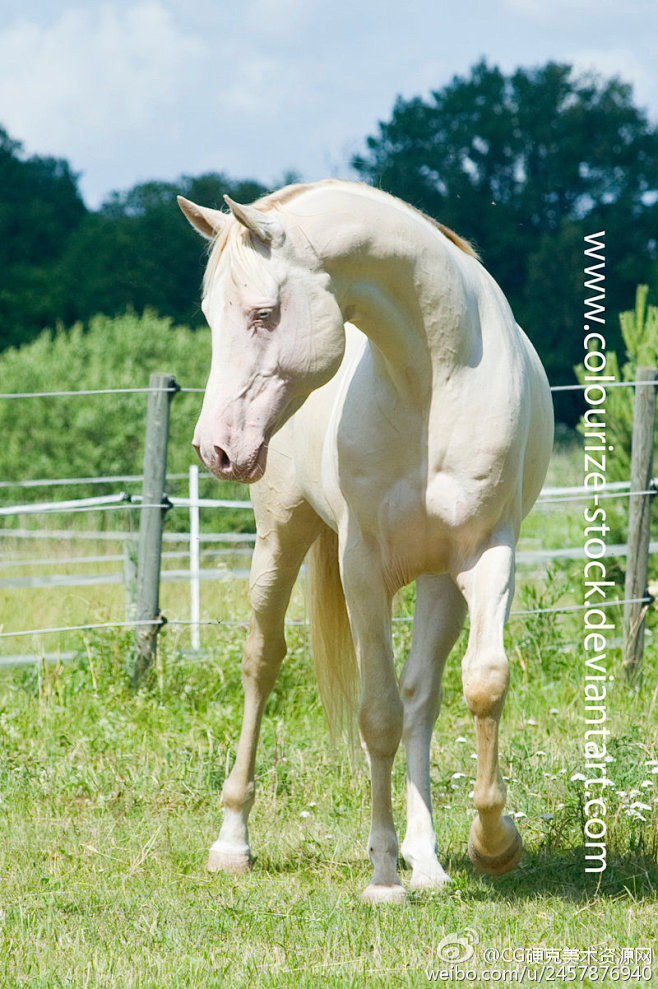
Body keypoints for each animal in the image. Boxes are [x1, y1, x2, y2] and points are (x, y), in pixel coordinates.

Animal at [177, 178, 552, 904]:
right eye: (208, 315)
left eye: (263, 314)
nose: (216, 449)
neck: (433, 381)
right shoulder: (362, 571)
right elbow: (376, 716)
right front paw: (383, 875)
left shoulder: (487, 555)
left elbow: (481, 684)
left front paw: (494, 842)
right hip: (282, 536)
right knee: (262, 661)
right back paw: (233, 840)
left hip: (439, 583)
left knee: (421, 698)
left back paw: (428, 860)